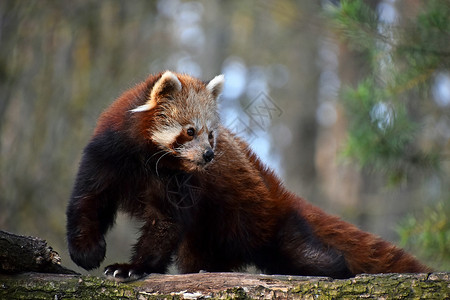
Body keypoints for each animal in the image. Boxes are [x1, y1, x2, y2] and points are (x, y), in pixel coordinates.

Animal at [65, 70, 430, 282]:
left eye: (212, 135)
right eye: (190, 131)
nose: (209, 155)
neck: (149, 161)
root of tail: (279, 191)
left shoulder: (178, 184)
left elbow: (165, 224)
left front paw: (133, 267)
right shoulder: (106, 156)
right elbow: (87, 201)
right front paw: (87, 252)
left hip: (260, 221)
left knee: (302, 252)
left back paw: (336, 269)